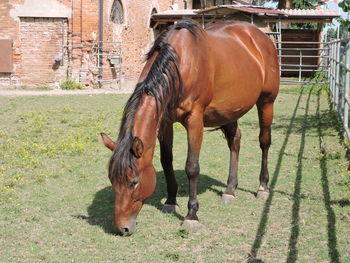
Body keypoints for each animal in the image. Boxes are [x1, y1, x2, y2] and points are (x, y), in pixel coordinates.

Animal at [101, 19, 278, 237]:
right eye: (112, 180)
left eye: (134, 181)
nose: (122, 228)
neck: (180, 64)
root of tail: (261, 37)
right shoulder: (165, 121)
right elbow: (166, 161)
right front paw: (170, 201)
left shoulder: (195, 120)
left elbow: (192, 167)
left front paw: (191, 215)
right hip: (229, 110)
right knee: (235, 141)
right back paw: (230, 190)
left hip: (267, 102)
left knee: (264, 142)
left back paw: (262, 187)